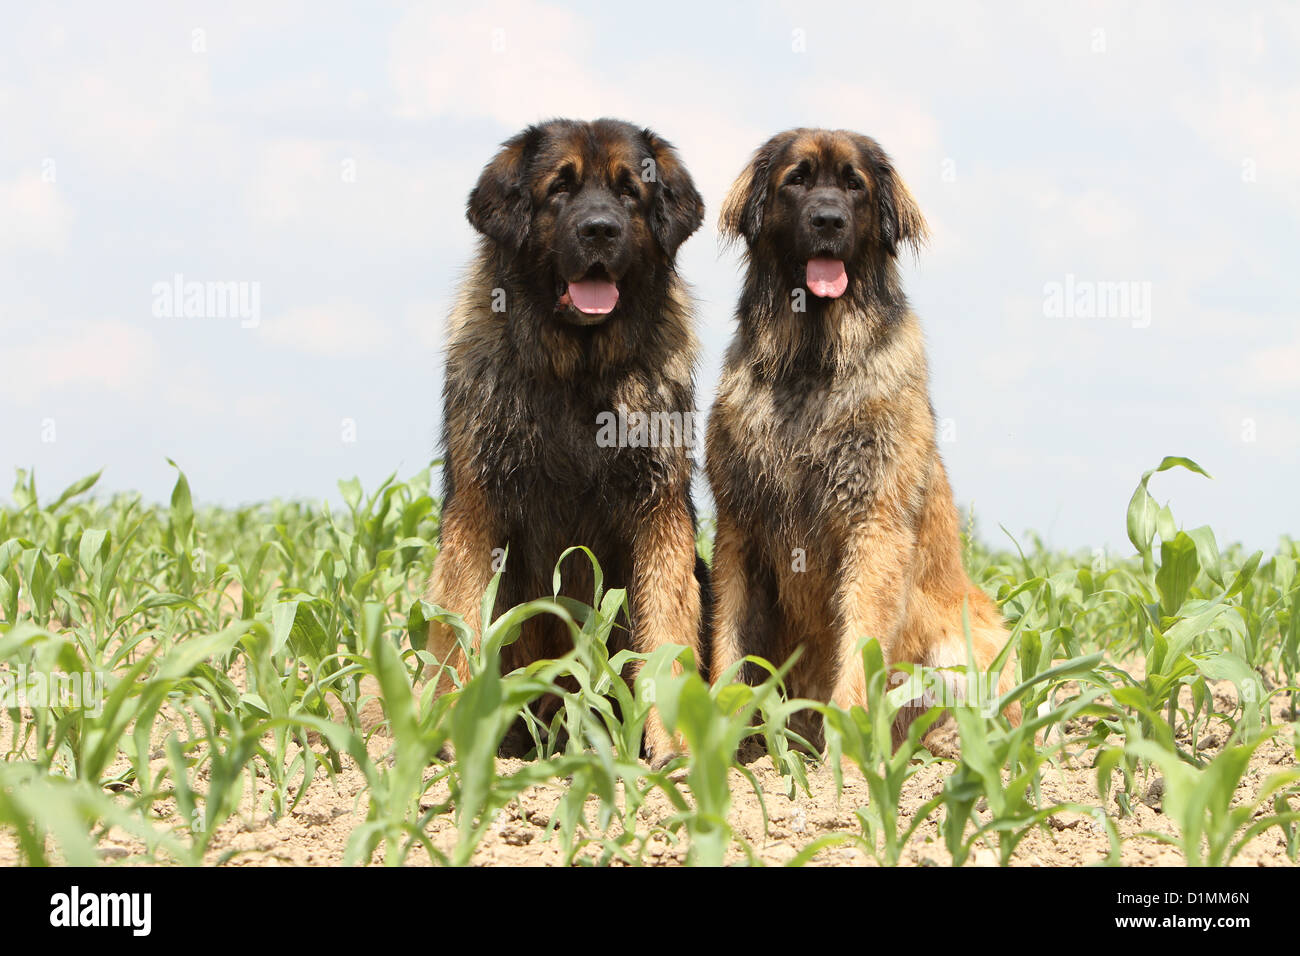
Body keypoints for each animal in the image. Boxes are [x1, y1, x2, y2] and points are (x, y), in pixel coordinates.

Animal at [423, 119, 712, 764]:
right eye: (560, 188)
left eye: (630, 191)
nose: (599, 229)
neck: (576, 373)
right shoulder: (477, 504)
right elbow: (461, 619)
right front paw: (452, 732)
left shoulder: (658, 508)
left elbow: (667, 624)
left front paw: (674, 743)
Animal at [707, 128, 1019, 749]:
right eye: (797, 180)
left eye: (855, 185)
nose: (828, 220)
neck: (811, 360)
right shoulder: (739, 532)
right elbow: (728, 649)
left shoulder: (874, 526)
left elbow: (859, 650)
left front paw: (847, 754)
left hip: (971, 640)